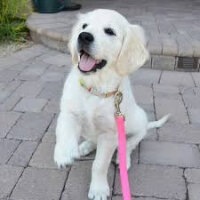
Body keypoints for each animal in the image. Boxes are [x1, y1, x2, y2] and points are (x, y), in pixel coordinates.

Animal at [54, 9, 169, 200]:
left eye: (109, 31)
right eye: (84, 26)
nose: (83, 36)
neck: (96, 88)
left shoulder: (109, 134)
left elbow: (99, 165)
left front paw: (98, 189)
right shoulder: (68, 112)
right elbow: (64, 132)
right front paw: (63, 153)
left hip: (138, 127)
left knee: (128, 146)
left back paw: (123, 160)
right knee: (92, 140)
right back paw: (84, 146)